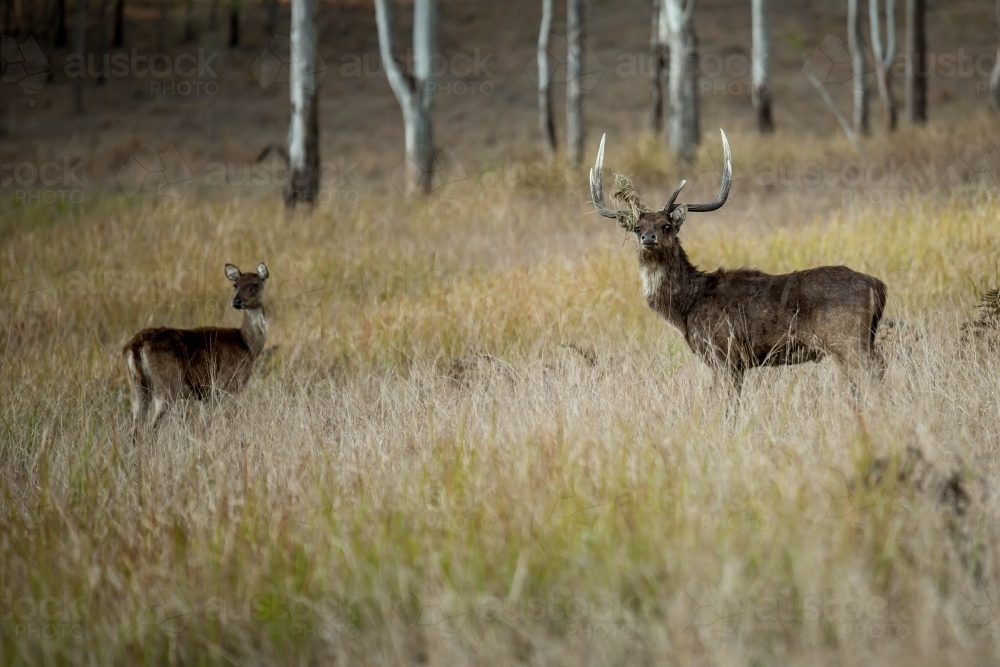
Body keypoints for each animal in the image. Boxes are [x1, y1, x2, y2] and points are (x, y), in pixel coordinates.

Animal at [121, 264, 270, 440]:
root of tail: (135, 346)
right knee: (152, 427)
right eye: (235, 285)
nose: (236, 301)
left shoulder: (206, 394)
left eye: (255, 284)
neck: (247, 345)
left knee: (134, 429)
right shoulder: (229, 383)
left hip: (136, 388)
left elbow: (204, 426)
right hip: (167, 384)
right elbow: (230, 420)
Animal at [588, 133, 888, 400]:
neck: (686, 307)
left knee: (874, 379)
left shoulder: (724, 352)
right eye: (637, 228)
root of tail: (879, 285)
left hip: (847, 339)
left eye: (667, 226)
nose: (649, 238)